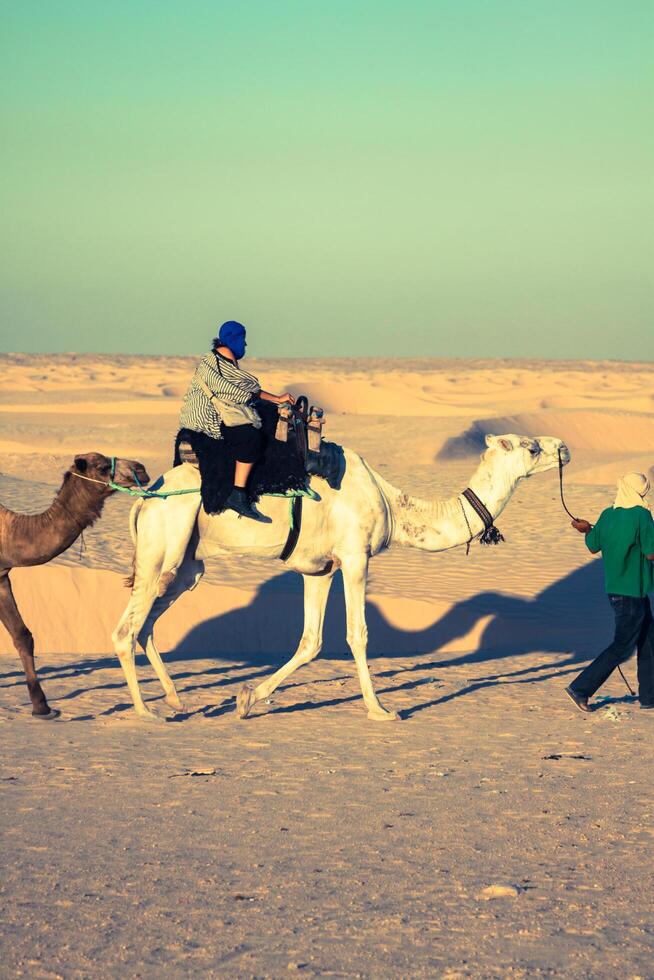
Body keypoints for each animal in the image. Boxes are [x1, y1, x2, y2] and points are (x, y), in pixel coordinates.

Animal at [111, 434, 568, 720]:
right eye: (530, 448)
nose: (563, 448)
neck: (392, 504)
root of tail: (146, 496)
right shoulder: (354, 557)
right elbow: (357, 634)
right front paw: (380, 710)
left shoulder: (320, 570)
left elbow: (311, 641)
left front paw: (246, 698)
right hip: (162, 545)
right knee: (125, 629)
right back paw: (146, 712)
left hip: (189, 565)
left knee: (148, 624)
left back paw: (175, 700)